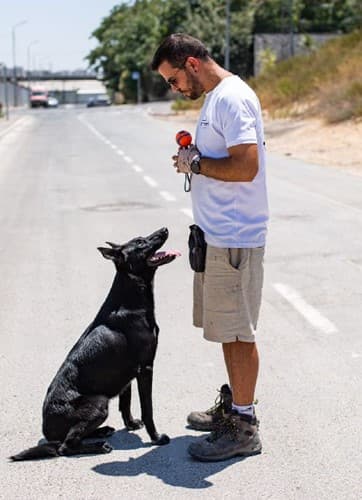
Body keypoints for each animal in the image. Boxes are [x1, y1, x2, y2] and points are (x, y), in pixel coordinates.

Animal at [11, 227, 180, 460]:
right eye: (140, 242)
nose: (164, 229)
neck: (130, 297)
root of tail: (47, 430)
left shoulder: (128, 373)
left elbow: (125, 402)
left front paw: (130, 424)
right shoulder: (145, 368)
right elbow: (148, 409)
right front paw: (156, 437)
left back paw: (102, 431)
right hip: (99, 403)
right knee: (66, 446)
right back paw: (99, 445)